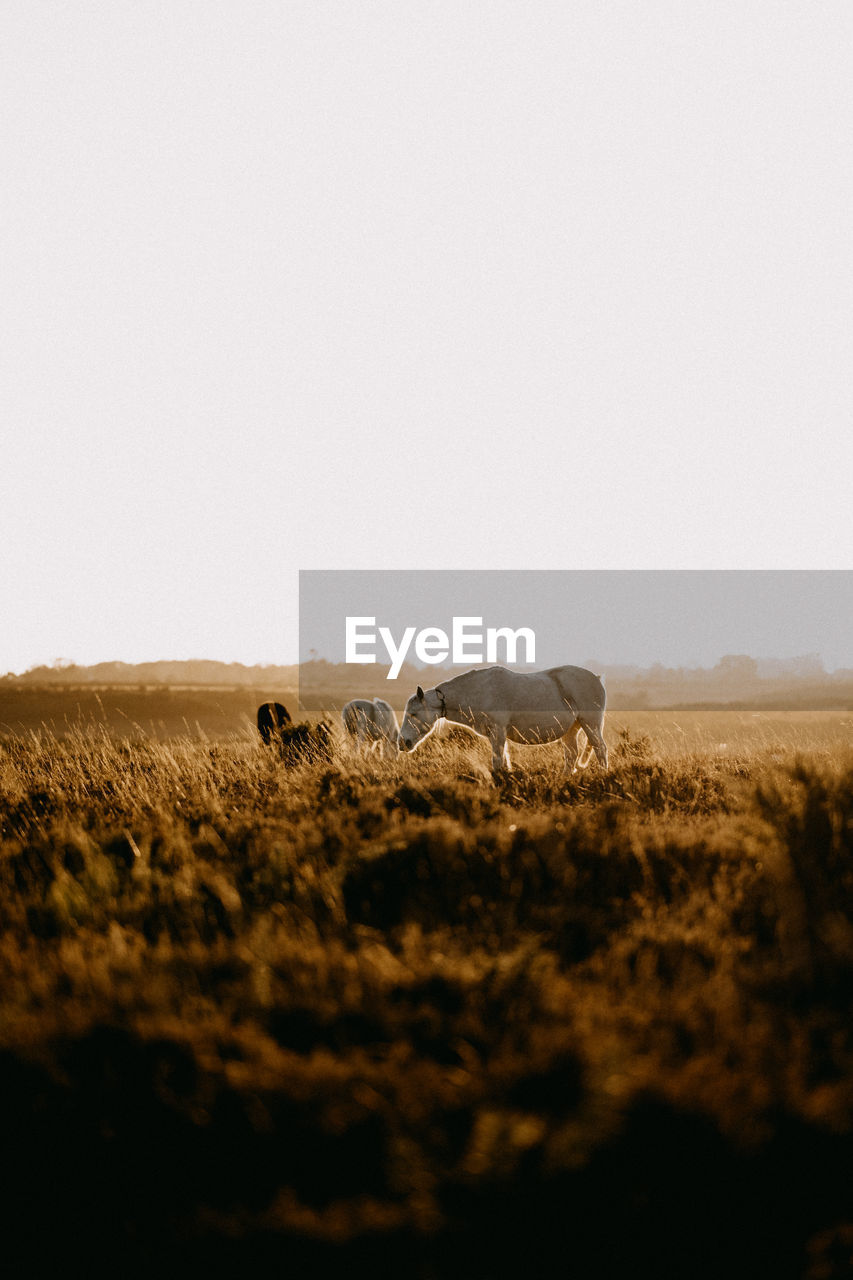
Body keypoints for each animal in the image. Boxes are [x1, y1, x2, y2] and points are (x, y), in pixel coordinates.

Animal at [397, 665, 604, 773]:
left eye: (413, 714)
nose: (402, 742)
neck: (479, 691)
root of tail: (597, 677)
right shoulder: (494, 734)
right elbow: (502, 760)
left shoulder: (498, 731)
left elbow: (497, 762)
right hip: (571, 729)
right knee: (572, 755)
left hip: (591, 724)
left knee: (600, 749)